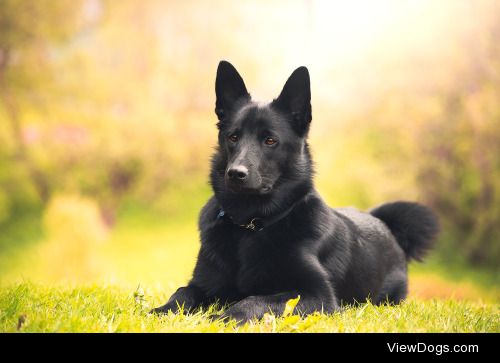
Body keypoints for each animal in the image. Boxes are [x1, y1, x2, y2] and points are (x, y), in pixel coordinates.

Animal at [151, 61, 438, 322]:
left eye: (270, 140)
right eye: (233, 137)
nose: (235, 173)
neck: (250, 226)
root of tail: (382, 222)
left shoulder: (317, 295)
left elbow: (255, 299)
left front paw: (222, 317)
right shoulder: (203, 283)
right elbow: (182, 292)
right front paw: (161, 311)